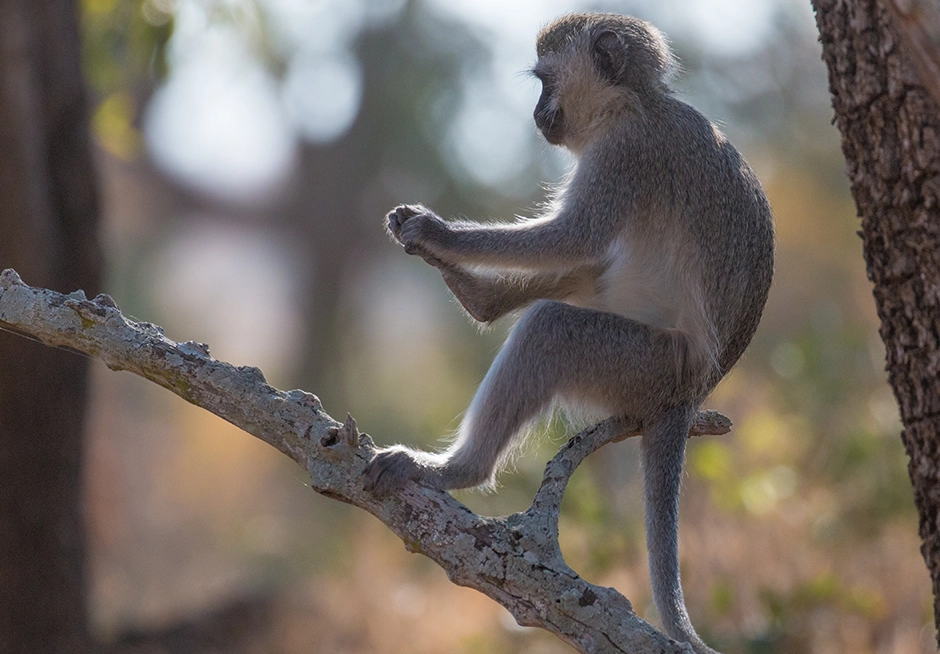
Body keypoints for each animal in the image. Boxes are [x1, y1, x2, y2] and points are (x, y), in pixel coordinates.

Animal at [363, 13, 774, 654]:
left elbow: (574, 236)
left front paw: (436, 231)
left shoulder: (625, 154)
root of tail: (690, 394)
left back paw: (457, 470)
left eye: (545, 80)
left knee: (552, 327)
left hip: (641, 365)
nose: (535, 113)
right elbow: (581, 253)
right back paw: (481, 300)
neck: (635, 101)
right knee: (582, 279)